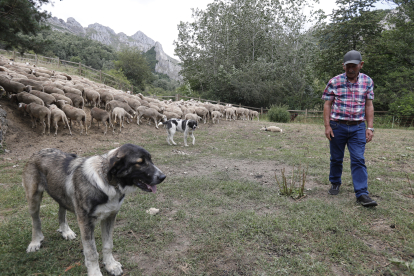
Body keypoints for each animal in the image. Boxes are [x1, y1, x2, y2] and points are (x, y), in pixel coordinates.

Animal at [23, 143, 166, 274]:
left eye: (150, 160)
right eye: (139, 163)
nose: (163, 177)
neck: (109, 183)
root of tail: (39, 151)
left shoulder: (110, 216)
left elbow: (108, 245)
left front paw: (111, 265)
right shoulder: (86, 223)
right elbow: (92, 253)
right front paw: (95, 272)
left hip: (61, 193)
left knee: (61, 210)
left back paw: (66, 231)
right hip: (34, 199)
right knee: (35, 221)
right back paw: (35, 242)